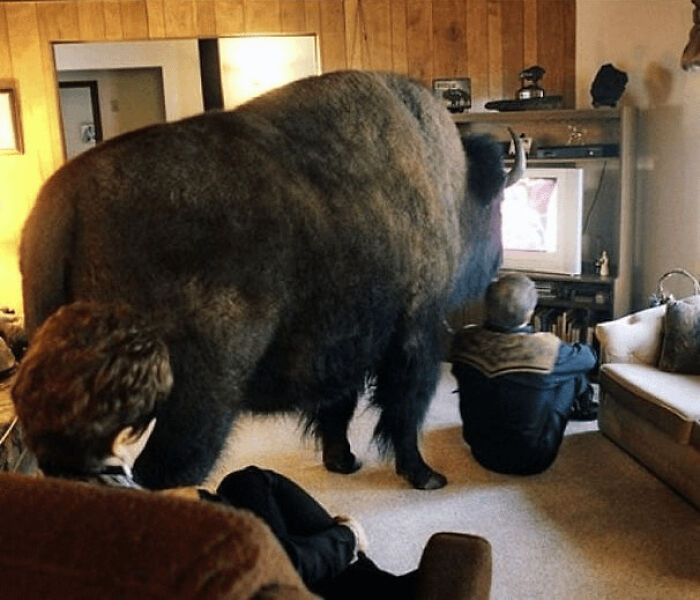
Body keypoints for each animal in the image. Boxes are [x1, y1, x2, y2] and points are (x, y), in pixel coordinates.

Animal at [20, 70, 523, 489]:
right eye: (497, 205)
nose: (497, 260)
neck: (450, 185)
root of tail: (66, 202)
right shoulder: (415, 332)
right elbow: (404, 408)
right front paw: (424, 475)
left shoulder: (343, 349)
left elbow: (337, 408)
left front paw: (342, 461)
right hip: (194, 401)